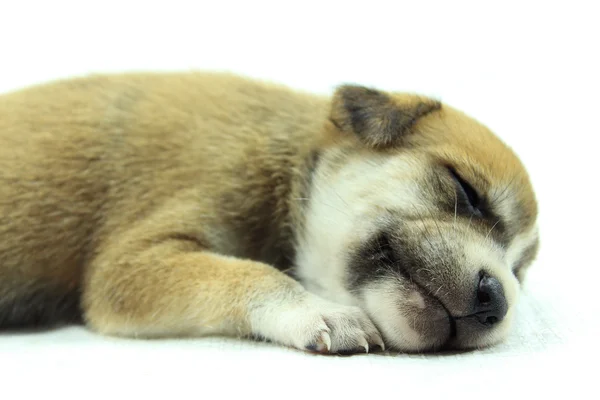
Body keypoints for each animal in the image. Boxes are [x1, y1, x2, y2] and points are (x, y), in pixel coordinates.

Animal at [0, 72, 540, 354]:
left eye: (518, 272)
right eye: (466, 190)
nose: (496, 300)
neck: (291, 159)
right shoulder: (129, 265)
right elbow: (247, 273)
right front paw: (317, 310)